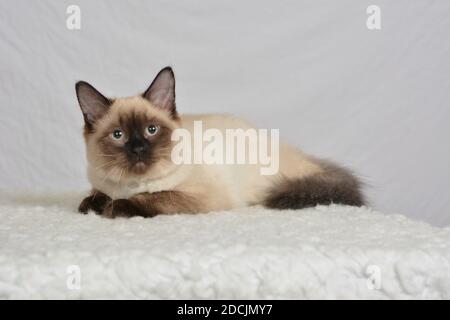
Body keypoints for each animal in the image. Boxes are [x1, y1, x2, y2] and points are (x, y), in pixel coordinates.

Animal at [76, 67, 366, 218]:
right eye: (118, 135)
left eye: (151, 130)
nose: (137, 150)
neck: (128, 185)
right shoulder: (101, 183)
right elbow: (95, 196)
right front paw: (93, 205)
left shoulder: (199, 198)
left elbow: (152, 197)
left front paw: (115, 207)